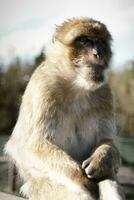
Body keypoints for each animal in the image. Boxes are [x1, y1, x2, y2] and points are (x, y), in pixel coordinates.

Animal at [4, 17, 122, 200]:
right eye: (84, 40)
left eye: (101, 42)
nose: (98, 53)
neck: (77, 86)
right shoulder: (44, 86)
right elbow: (33, 146)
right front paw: (83, 180)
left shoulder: (105, 93)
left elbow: (107, 141)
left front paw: (101, 160)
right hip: (41, 190)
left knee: (108, 175)